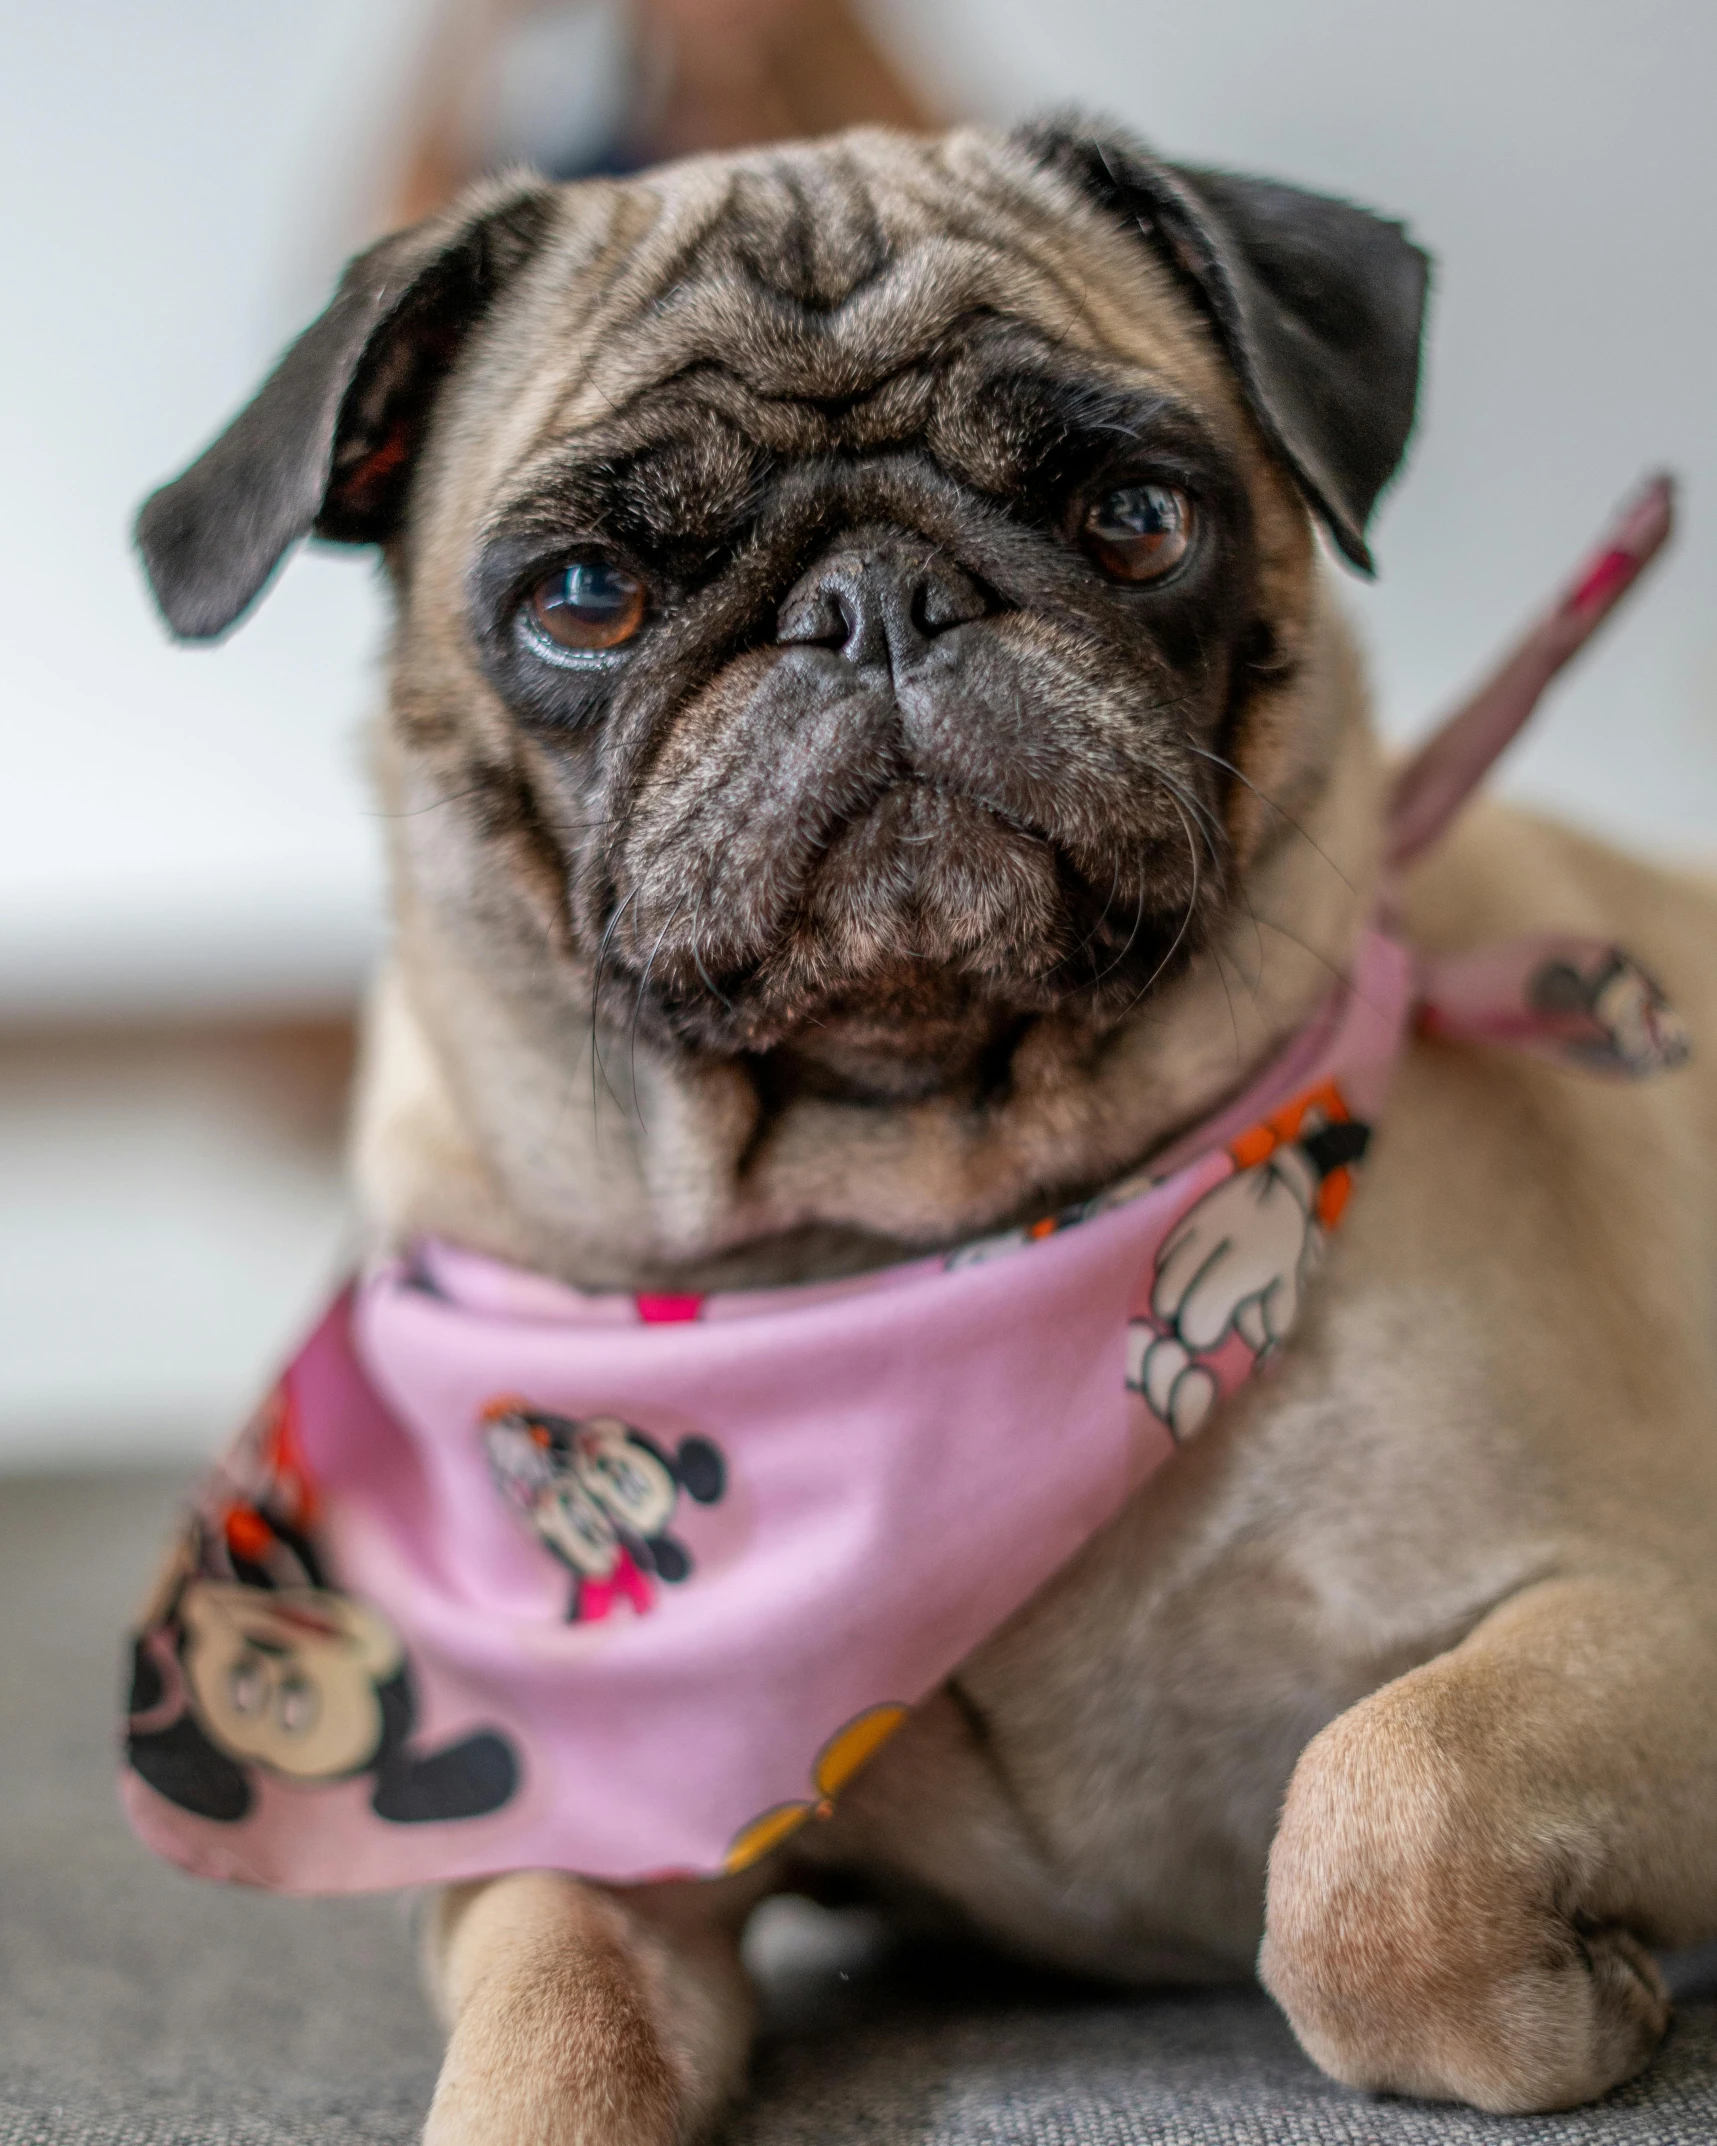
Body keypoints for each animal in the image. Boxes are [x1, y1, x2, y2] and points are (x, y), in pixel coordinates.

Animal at [134, 125, 1717, 2137]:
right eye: (582, 593)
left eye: (1137, 514)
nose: (873, 601)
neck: (908, 1240)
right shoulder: (591, 1829)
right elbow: (548, 2037)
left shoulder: (1645, 1600)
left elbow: (1387, 1819)